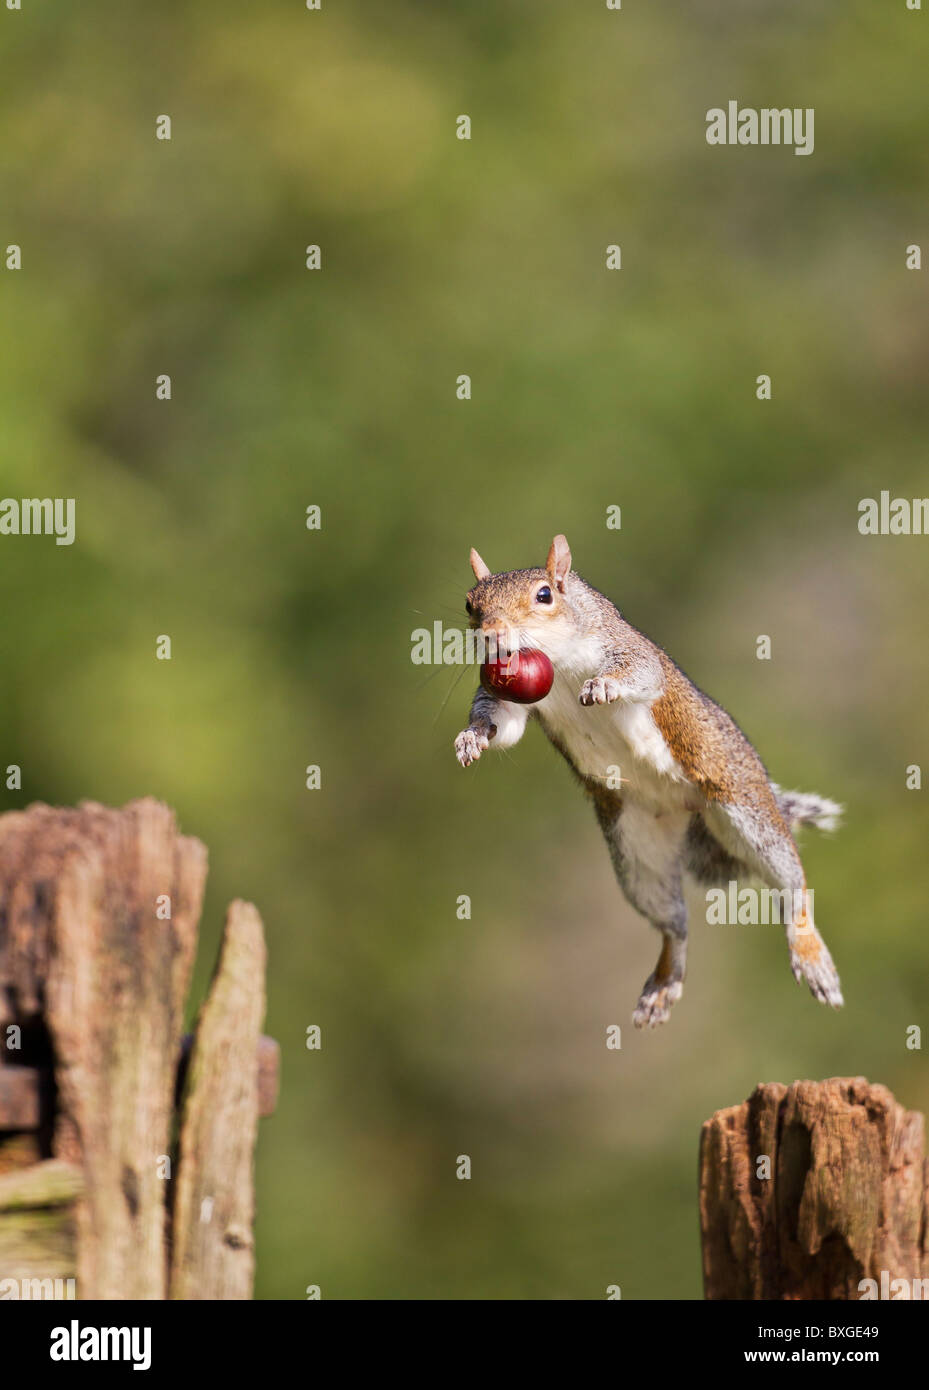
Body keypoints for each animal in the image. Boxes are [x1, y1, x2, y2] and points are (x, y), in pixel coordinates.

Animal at [453, 536, 845, 1028]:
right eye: (470, 604)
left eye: (544, 595)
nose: (491, 634)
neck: (558, 661)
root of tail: (689, 809)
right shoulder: (507, 699)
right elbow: (501, 726)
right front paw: (471, 738)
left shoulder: (624, 646)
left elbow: (641, 672)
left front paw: (603, 687)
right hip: (638, 855)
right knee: (674, 926)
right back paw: (663, 983)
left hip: (744, 806)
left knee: (792, 884)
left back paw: (810, 954)